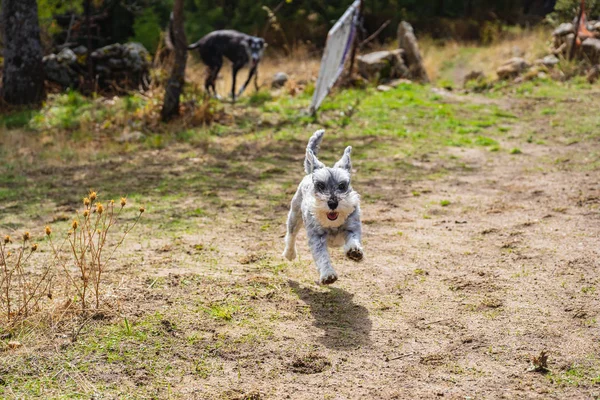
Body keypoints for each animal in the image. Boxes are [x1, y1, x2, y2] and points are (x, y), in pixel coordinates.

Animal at [284, 129, 364, 284]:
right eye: (320, 185)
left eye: (342, 185)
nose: (332, 203)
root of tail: (310, 171)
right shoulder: (317, 237)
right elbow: (322, 257)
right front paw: (328, 275)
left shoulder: (352, 227)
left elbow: (353, 238)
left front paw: (354, 251)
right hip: (294, 216)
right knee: (291, 235)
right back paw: (289, 254)